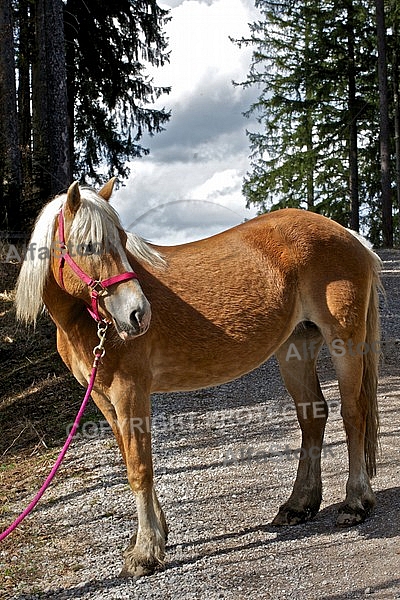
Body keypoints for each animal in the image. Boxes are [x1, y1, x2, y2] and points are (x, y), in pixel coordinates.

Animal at [14, 178, 382, 576]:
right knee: (313, 416)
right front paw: (152, 536)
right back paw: (299, 505)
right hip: (296, 348)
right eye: (88, 246)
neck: (88, 323)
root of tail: (349, 235)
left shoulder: (130, 391)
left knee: (353, 414)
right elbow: (131, 459)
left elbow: (140, 467)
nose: (138, 314)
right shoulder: (102, 396)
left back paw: (355, 503)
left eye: (122, 240)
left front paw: (146, 551)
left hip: (344, 340)